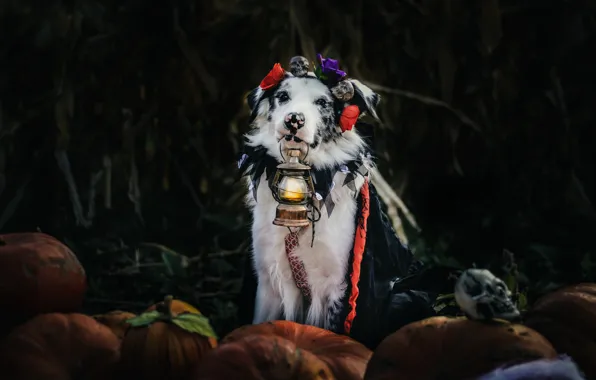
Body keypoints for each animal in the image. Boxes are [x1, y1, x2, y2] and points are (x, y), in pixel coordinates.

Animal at [237, 55, 438, 346]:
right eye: (283, 97)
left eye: (322, 103)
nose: (294, 120)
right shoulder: (268, 282)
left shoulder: (339, 287)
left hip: (405, 298)